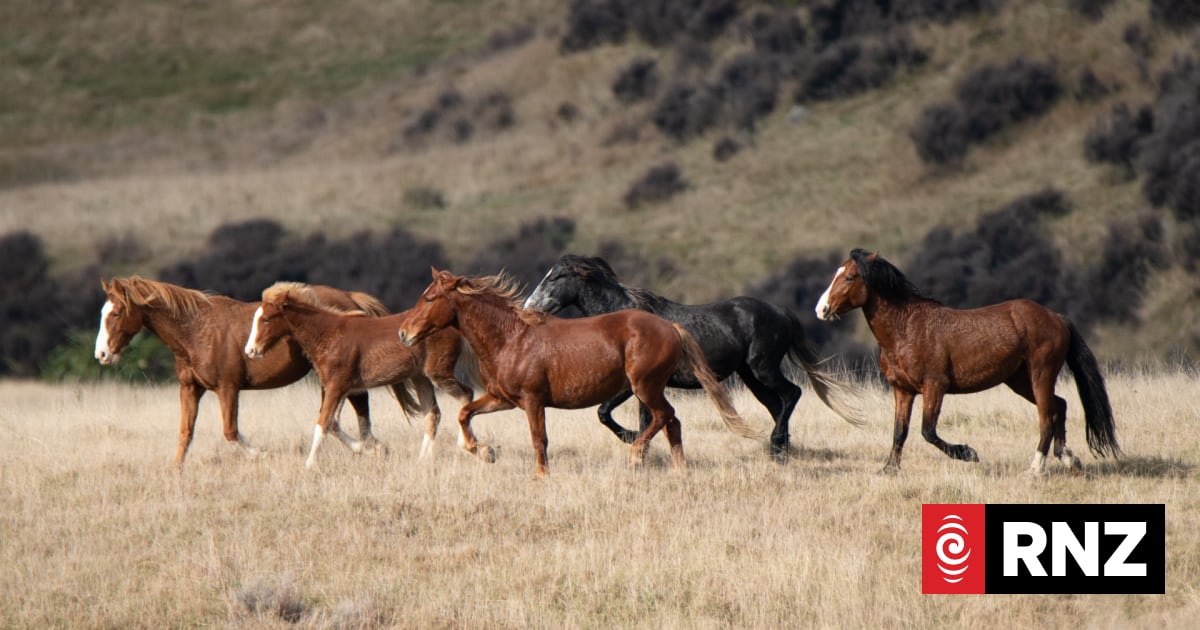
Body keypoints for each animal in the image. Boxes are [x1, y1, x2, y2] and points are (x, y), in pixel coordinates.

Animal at [95, 276, 391, 467]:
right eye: (103, 312)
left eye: (116, 313)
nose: (102, 354)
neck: (196, 330)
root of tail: (350, 297)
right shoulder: (190, 388)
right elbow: (185, 434)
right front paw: (175, 472)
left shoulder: (227, 388)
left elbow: (230, 431)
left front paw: (263, 455)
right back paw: (372, 447)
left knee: (349, 410)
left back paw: (371, 448)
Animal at [244, 282, 475, 469]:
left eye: (266, 319)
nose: (251, 350)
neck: (329, 335)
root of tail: (454, 326)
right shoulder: (342, 388)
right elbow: (333, 424)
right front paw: (374, 450)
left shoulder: (336, 387)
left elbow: (322, 424)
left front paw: (309, 465)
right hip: (421, 378)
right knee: (432, 414)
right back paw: (423, 459)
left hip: (438, 374)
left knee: (466, 395)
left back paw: (467, 446)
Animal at [398, 269, 762, 478]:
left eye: (429, 298)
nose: (403, 333)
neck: (511, 338)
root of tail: (670, 327)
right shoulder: (503, 398)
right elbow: (464, 413)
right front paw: (485, 453)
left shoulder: (533, 400)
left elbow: (539, 439)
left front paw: (541, 477)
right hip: (650, 388)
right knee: (673, 422)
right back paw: (679, 471)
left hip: (645, 386)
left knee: (664, 416)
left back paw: (636, 457)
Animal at [522, 254, 863, 461]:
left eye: (555, 278)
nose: (528, 307)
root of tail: (781, 312)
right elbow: (632, 417)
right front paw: (641, 451)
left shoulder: (631, 384)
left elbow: (605, 413)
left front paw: (633, 442)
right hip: (751, 376)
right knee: (777, 405)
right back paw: (780, 451)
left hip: (762, 368)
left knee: (792, 394)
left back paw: (775, 445)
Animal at [814, 249, 1119, 475]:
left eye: (850, 277)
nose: (821, 309)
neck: (908, 327)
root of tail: (1057, 317)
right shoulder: (902, 390)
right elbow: (900, 431)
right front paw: (889, 469)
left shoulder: (934, 387)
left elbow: (928, 431)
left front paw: (968, 453)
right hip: (1020, 380)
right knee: (1060, 406)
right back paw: (1068, 458)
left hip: (1040, 375)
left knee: (1047, 416)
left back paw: (1036, 468)